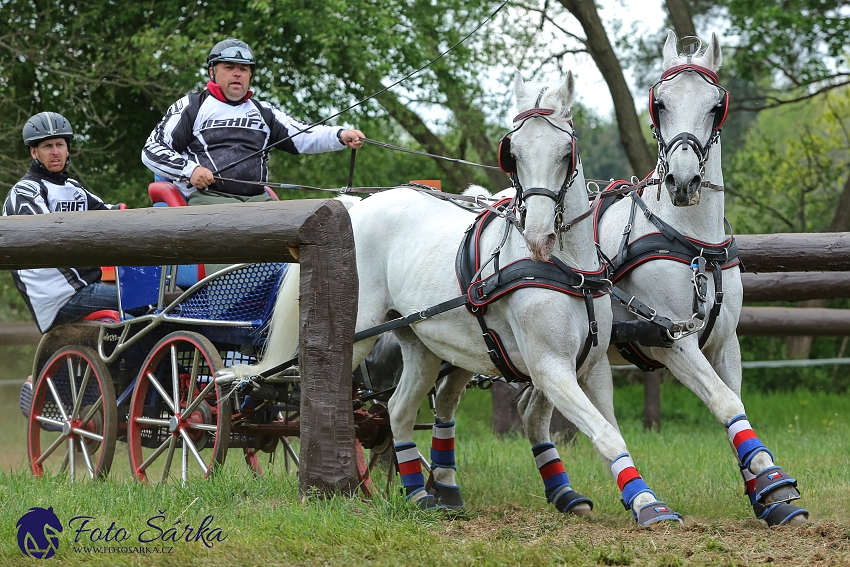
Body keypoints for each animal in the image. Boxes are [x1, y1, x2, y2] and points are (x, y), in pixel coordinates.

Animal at [592, 31, 804, 528]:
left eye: (715, 105)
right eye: (660, 103)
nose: (684, 181)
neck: (693, 244)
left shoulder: (724, 341)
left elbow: (735, 405)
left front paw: (768, 491)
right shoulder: (672, 342)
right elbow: (725, 402)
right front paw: (772, 481)